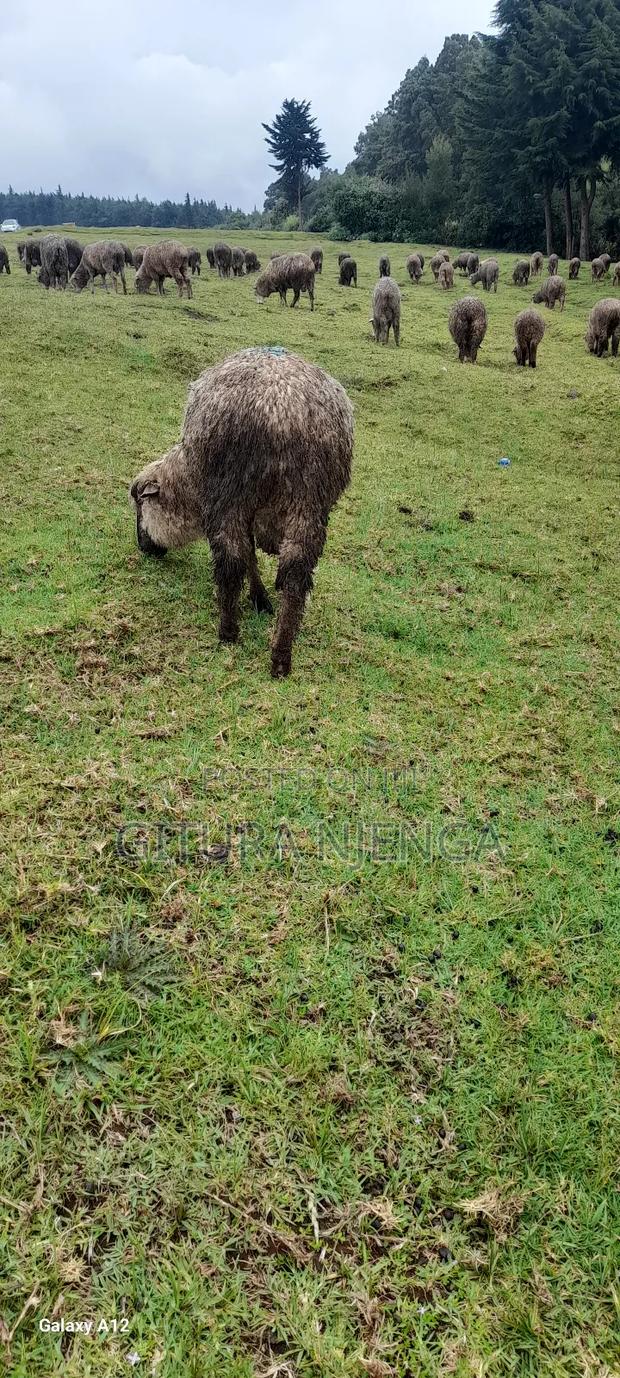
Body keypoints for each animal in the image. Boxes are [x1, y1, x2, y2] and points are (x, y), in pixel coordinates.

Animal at [129, 347, 353, 678]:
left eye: (140, 504)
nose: (144, 548)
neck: (187, 482)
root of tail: (282, 415)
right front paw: (265, 597)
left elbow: (246, 556)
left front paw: (257, 599)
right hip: (308, 500)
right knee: (297, 572)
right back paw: (281, 657)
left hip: (230, 489)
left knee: (231, 559)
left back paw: (228, 632)